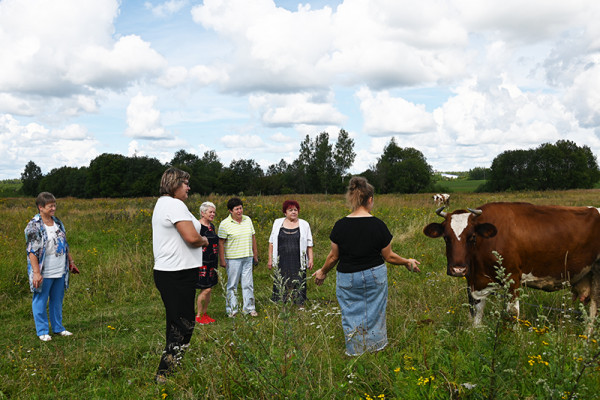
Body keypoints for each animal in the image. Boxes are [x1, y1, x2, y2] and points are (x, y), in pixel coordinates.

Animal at [422, 202, 600, 326]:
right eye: (446, 238)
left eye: (472, 236)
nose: (458, 269)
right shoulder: (474, 283)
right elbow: (476, 317)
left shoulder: (513, 278)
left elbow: (513, 314)